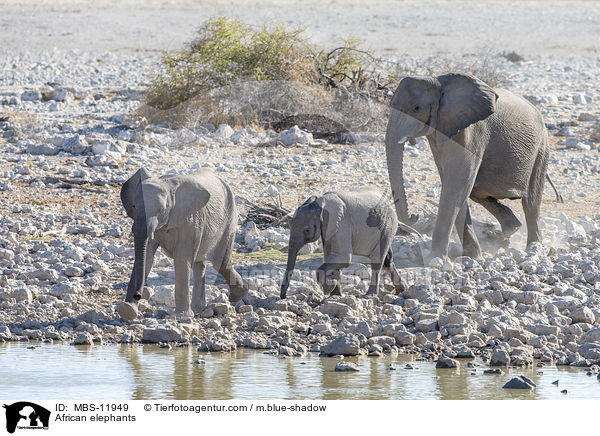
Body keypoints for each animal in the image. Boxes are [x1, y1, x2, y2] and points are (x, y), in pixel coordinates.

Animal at [116, 167, 247, 320]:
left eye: (161, 210)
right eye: (134, 206)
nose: (137, 295)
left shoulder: (191, 221)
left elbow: (182, 259)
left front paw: (180, 317)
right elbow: (146, 257)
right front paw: (127, 310)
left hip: (229, 221)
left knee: (221, 264)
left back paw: (238, 295)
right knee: (200, 265)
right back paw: (199, 308)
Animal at [386, 73, 552, 262]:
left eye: (416, 108)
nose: (414, 216)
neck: (440, 84)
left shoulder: (472, 132)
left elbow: (456, 186)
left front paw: (435, 260)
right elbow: (458, 187)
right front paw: (473, 256)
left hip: (541, 149)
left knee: (531, 202)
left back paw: (533, 247)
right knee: (477, 191)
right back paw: (512, 229)